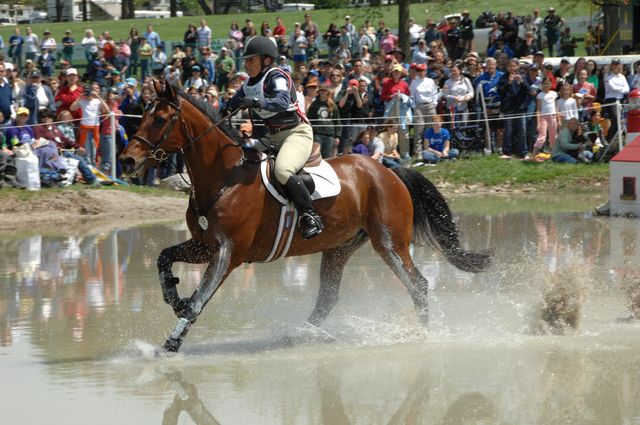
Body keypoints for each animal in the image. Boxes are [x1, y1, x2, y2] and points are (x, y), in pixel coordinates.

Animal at [119, 79, 490, 352]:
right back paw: (298, 335)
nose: (126, 161)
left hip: (389, 242)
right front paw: (173, 297)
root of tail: (387, 169)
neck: (224, 177)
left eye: (161, 119)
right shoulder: (204, 245)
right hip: (340, 246)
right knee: (328, 298)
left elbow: (200, 299)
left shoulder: (228, 253)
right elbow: (164, 258)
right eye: (143, 114)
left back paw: (423, 337)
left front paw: (170, 343)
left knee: (418, 284)